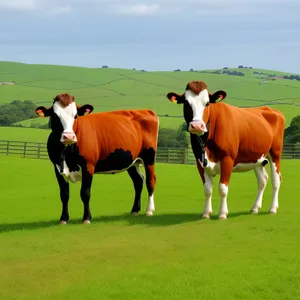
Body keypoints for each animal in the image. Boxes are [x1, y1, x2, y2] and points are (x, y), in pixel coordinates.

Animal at [34, 93, 159, 223]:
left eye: (76, 115)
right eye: (55, 115)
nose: (68, 136)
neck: (67, 153)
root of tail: (145, 110)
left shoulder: (88, 165)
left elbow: (85, 193)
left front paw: (86, 218)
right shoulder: (57, 167)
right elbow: (64, 194)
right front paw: (63, 219)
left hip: (149, 156)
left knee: (150, 180)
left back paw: (149, 211)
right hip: (131, 161)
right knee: (138, 181)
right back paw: (135, 210)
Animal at [166, 81, 286, 219]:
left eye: (207, 103)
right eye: (186, 103)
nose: (197, 126)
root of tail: (271, 109)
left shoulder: (227, 158)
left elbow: (223, 189)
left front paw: (222, 214)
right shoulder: (199, 161)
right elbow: (207, 189)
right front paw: (206, 213)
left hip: (275, 154)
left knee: (276, 180)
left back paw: (272, 209)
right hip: (258, 159)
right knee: (262, 180)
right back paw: (255, 208)